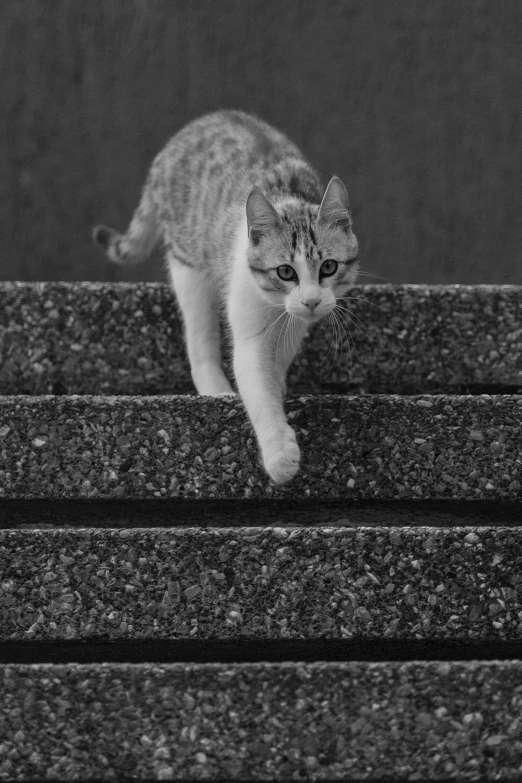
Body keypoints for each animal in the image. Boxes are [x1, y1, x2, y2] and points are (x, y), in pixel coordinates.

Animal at [92, 109, 358, 484]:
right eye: (285, 272)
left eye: (329, 267)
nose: (311, 301)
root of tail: (189, 131)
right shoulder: (248, 323)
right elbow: (256, 385)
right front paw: (279, 453)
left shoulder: (293, 326)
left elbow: (276, 366)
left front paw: (279, 391)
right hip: (189, 265)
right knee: (199, 334)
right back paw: (215, 387)